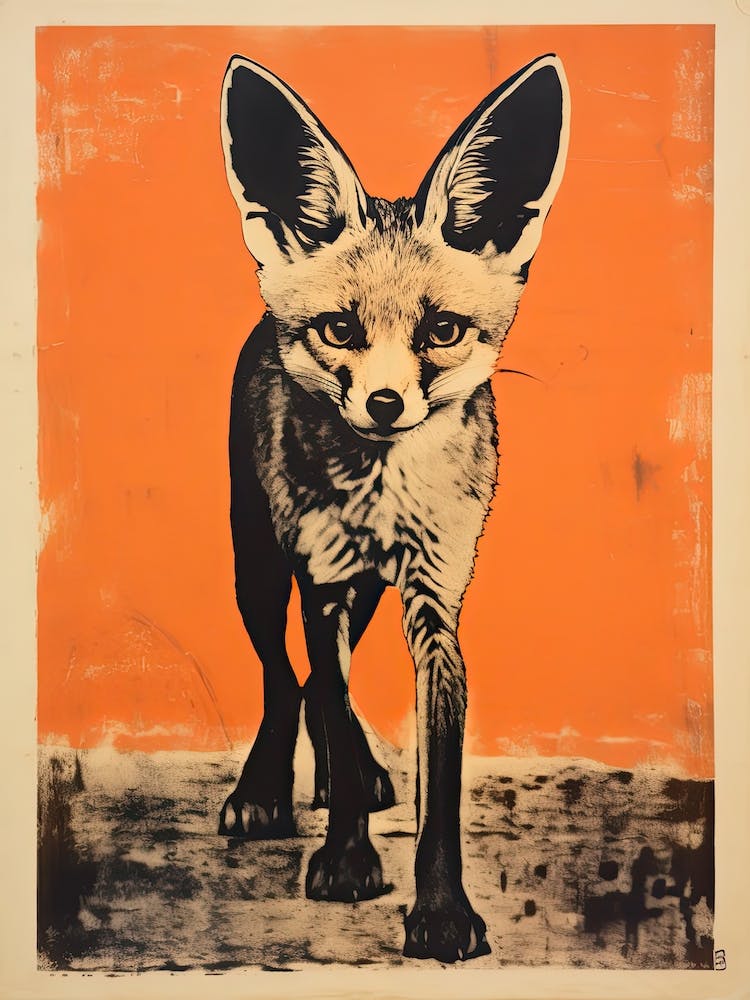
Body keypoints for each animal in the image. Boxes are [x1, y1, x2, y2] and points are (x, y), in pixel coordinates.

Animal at [217, 52, 569, 963]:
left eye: (441, 331)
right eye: (340, 330)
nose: (383, 404)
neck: (382, 503)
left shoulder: (435, 600)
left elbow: (436, 786)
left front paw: (441, 911)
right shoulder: (324, 585)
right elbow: (333, 715)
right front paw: (346, 861)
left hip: (368, 593)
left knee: (315, 687)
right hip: (260, 571)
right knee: (286, 679)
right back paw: (266, 788)